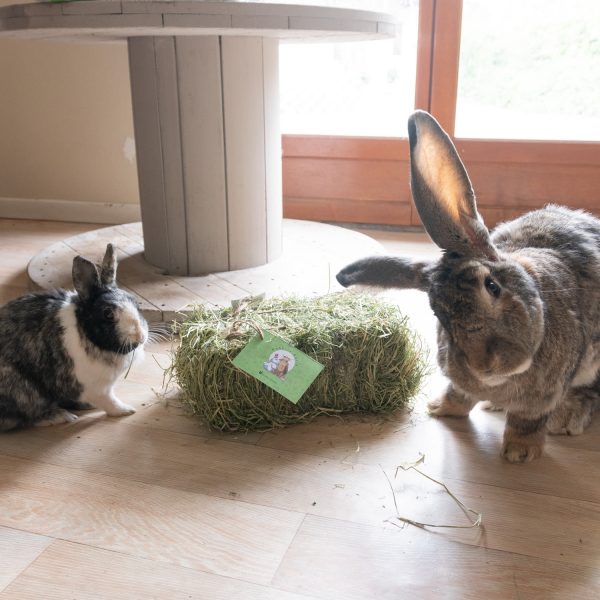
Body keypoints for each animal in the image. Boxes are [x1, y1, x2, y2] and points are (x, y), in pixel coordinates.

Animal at [0, 241, 148, 428]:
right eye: (108, 313)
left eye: (136, 303)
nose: (140, 337)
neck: (84, 332)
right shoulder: (97, 388)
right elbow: (109, 401)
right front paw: (126, 410)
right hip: (23, 390)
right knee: (26, 415)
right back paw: (60, 416)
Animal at [338, 109, 600, 464]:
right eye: (439, 314)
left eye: (492, 286)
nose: (484, 366)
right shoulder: (460, 381)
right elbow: (458, 393)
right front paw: (439, 408)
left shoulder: (542, 396)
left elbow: (527, 421)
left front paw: (519, 453)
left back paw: (566, 417)